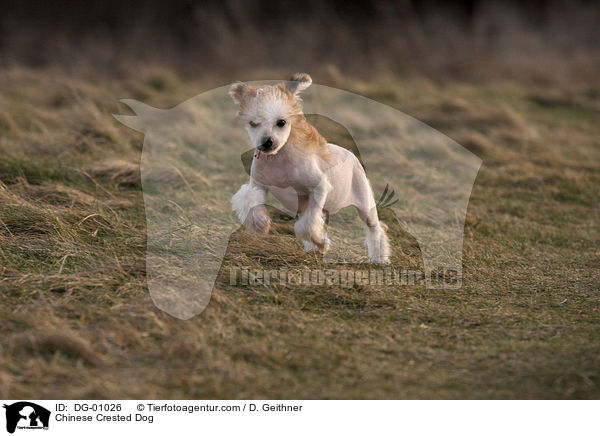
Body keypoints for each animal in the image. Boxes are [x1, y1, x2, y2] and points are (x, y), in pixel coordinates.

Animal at [229, 73, 390, 264]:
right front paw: (260, 223)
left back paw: (379, 258)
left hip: (365, 205)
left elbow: (307, 224)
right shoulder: (258, 185)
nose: (266, 142)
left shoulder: (319, 188)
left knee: (376, 228)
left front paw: (321, 243)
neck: (279, 159)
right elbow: (250, 200)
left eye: (281, 122)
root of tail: (352, 155)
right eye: (253, 123)